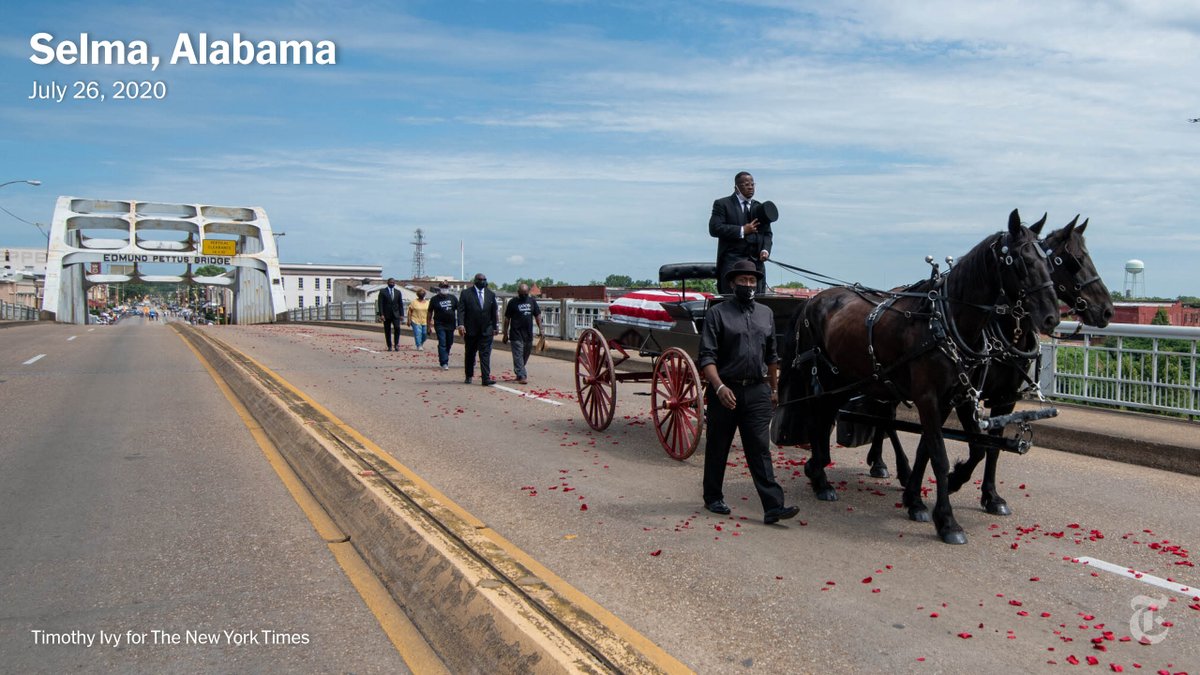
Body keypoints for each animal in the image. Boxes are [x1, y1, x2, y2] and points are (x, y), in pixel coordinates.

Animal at [777, 210, 1060, 540]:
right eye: (1020, 261)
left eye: (1049, 261)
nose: (1052, 317)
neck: (945, 322)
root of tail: (812, 300)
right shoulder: (930, 397)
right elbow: (939, 454)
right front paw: (947, 520)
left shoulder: (955, 398)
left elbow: (943, 447)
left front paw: (918, 499)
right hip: (825, 377)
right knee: (818, 417)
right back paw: (821, 477)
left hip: (846, 379)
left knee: (834, 417)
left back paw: (820, 470)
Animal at [859, 213, 1118, 509]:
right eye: (1073, 261)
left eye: (1086, 257)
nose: (1106, 310)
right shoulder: (961, 396)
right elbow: (968, 445)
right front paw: (952, 479)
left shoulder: (1004, 398)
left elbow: (991, 448)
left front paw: (991, 496)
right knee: (887, 418)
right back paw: (894, 467)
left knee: (885, 416)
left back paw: (879, 461)